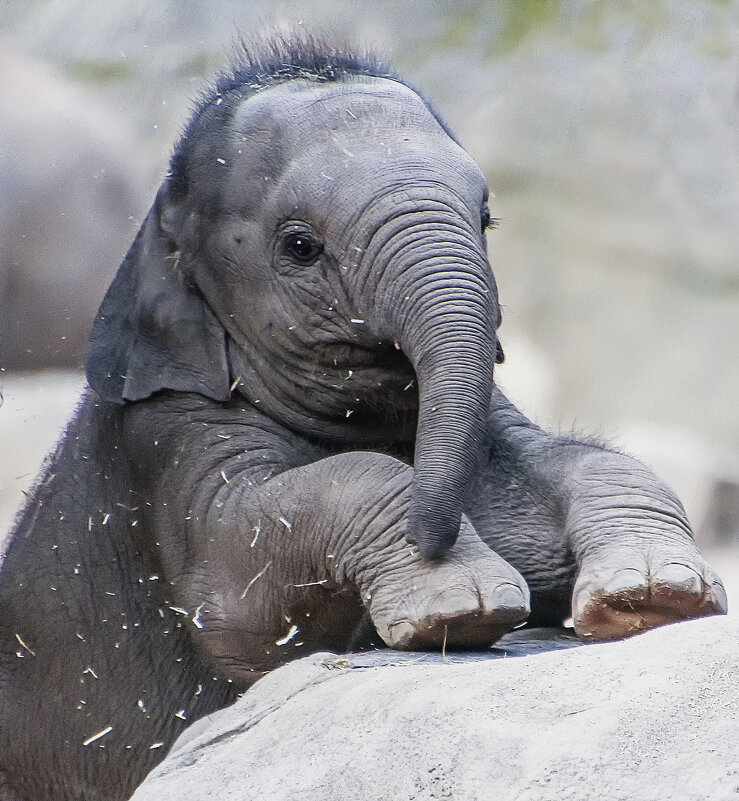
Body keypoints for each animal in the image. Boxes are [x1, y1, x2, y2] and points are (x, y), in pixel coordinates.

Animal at [0, 34, 728, 800]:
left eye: (487, 219)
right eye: (299, 246)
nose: (431, 532)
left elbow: (576, 464)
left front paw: (653, 596)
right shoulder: (169, 446)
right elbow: (239, 604)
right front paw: (459, 607)